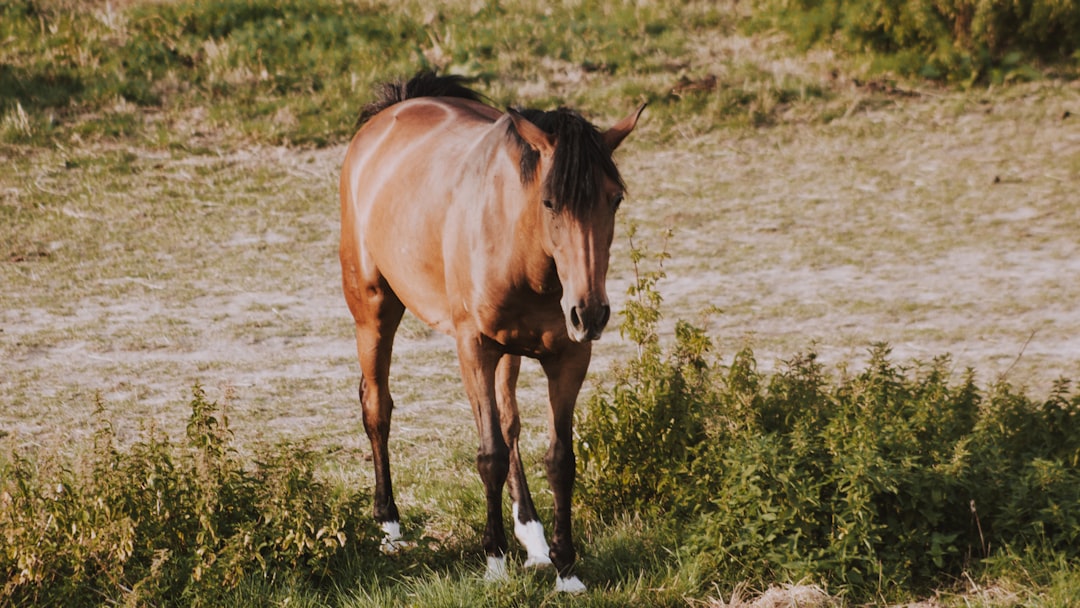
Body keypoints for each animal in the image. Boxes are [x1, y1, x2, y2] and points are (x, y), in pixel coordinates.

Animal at [339, 72, 639, 596]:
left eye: (614, 199)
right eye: (550, 202)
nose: (590, 313)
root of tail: (391, 111)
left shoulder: (567, 357)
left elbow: (559, 458)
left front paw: (566, 568)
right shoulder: (475, 347)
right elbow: (490, 455)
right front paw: (495, 561)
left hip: (508, 351)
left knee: (508, 421)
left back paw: (533, 539)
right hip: (374, 310)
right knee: (377, 405)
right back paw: (391, 527)